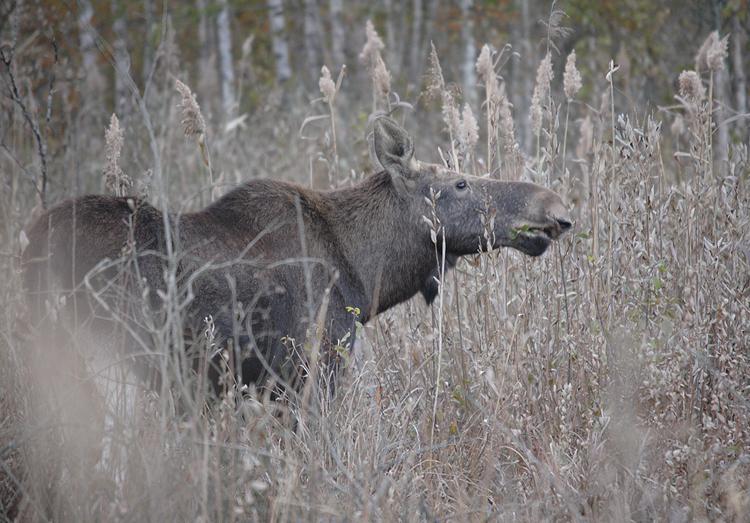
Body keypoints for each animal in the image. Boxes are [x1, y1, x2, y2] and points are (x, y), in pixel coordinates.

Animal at [22, 117, 576, 398]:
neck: (367, 271)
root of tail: (30, 249)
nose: (555, 208)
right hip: (106, 363)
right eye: (459, 183)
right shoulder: (311, 366)